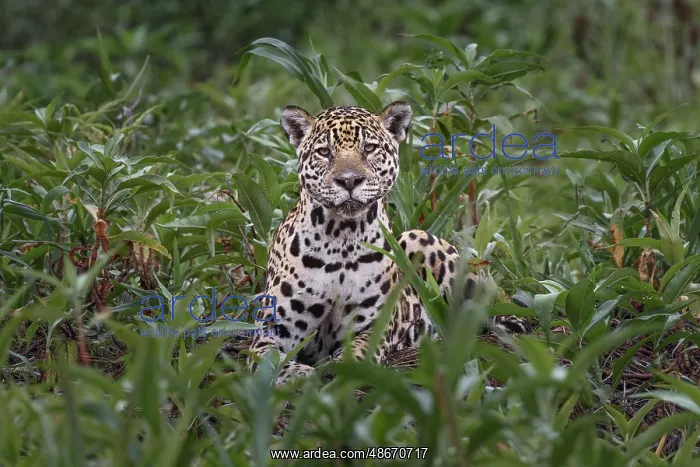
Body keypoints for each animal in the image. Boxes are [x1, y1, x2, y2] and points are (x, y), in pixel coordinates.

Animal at [246, 101, 527, 386]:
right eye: (324, 152)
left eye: (369, 148)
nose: (349, 180)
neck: (340, 238)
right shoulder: (273, 327)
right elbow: (266, 357)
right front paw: (295, 375)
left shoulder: (371, 328)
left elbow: (356, 355)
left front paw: (339, 372)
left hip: (421, 240)